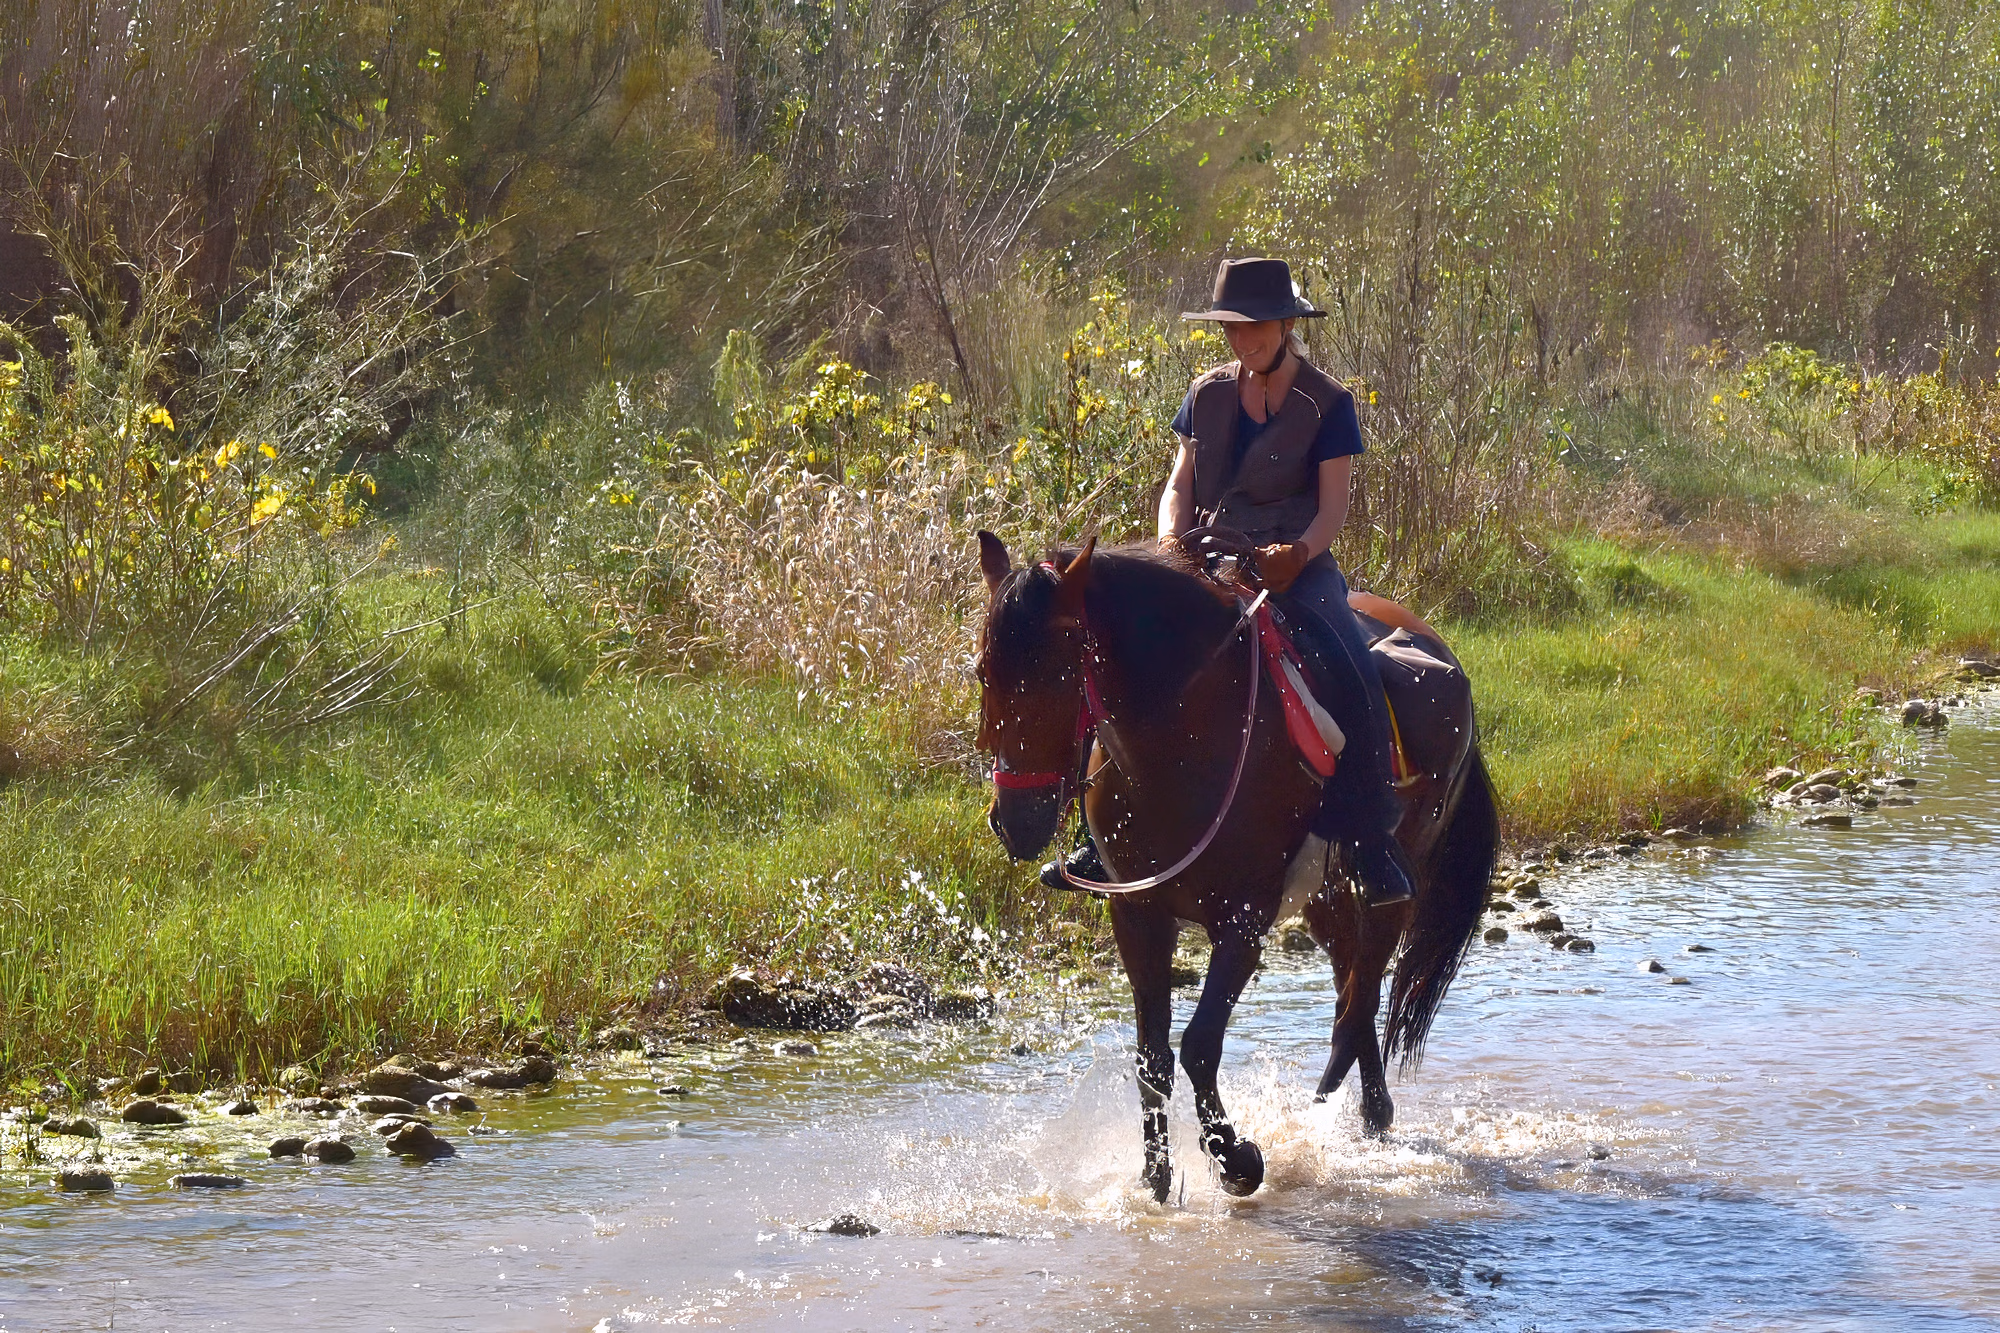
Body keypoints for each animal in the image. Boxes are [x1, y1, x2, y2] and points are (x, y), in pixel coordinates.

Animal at [975, 531, 1498, 1203]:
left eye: (1061, 671)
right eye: (984, 673)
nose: (1018, 820)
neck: (1180, 741)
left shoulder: (1244, 920)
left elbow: (1199, 1045)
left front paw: (1237, 1159)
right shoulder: (1138, 915)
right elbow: (1152, 1059)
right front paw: (1155, 1179)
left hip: (1392, 889)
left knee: (1358, 1002)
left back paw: (1319, 1126)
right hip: (1326, 897)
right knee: (1351, 989)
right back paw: (1362, 1116)